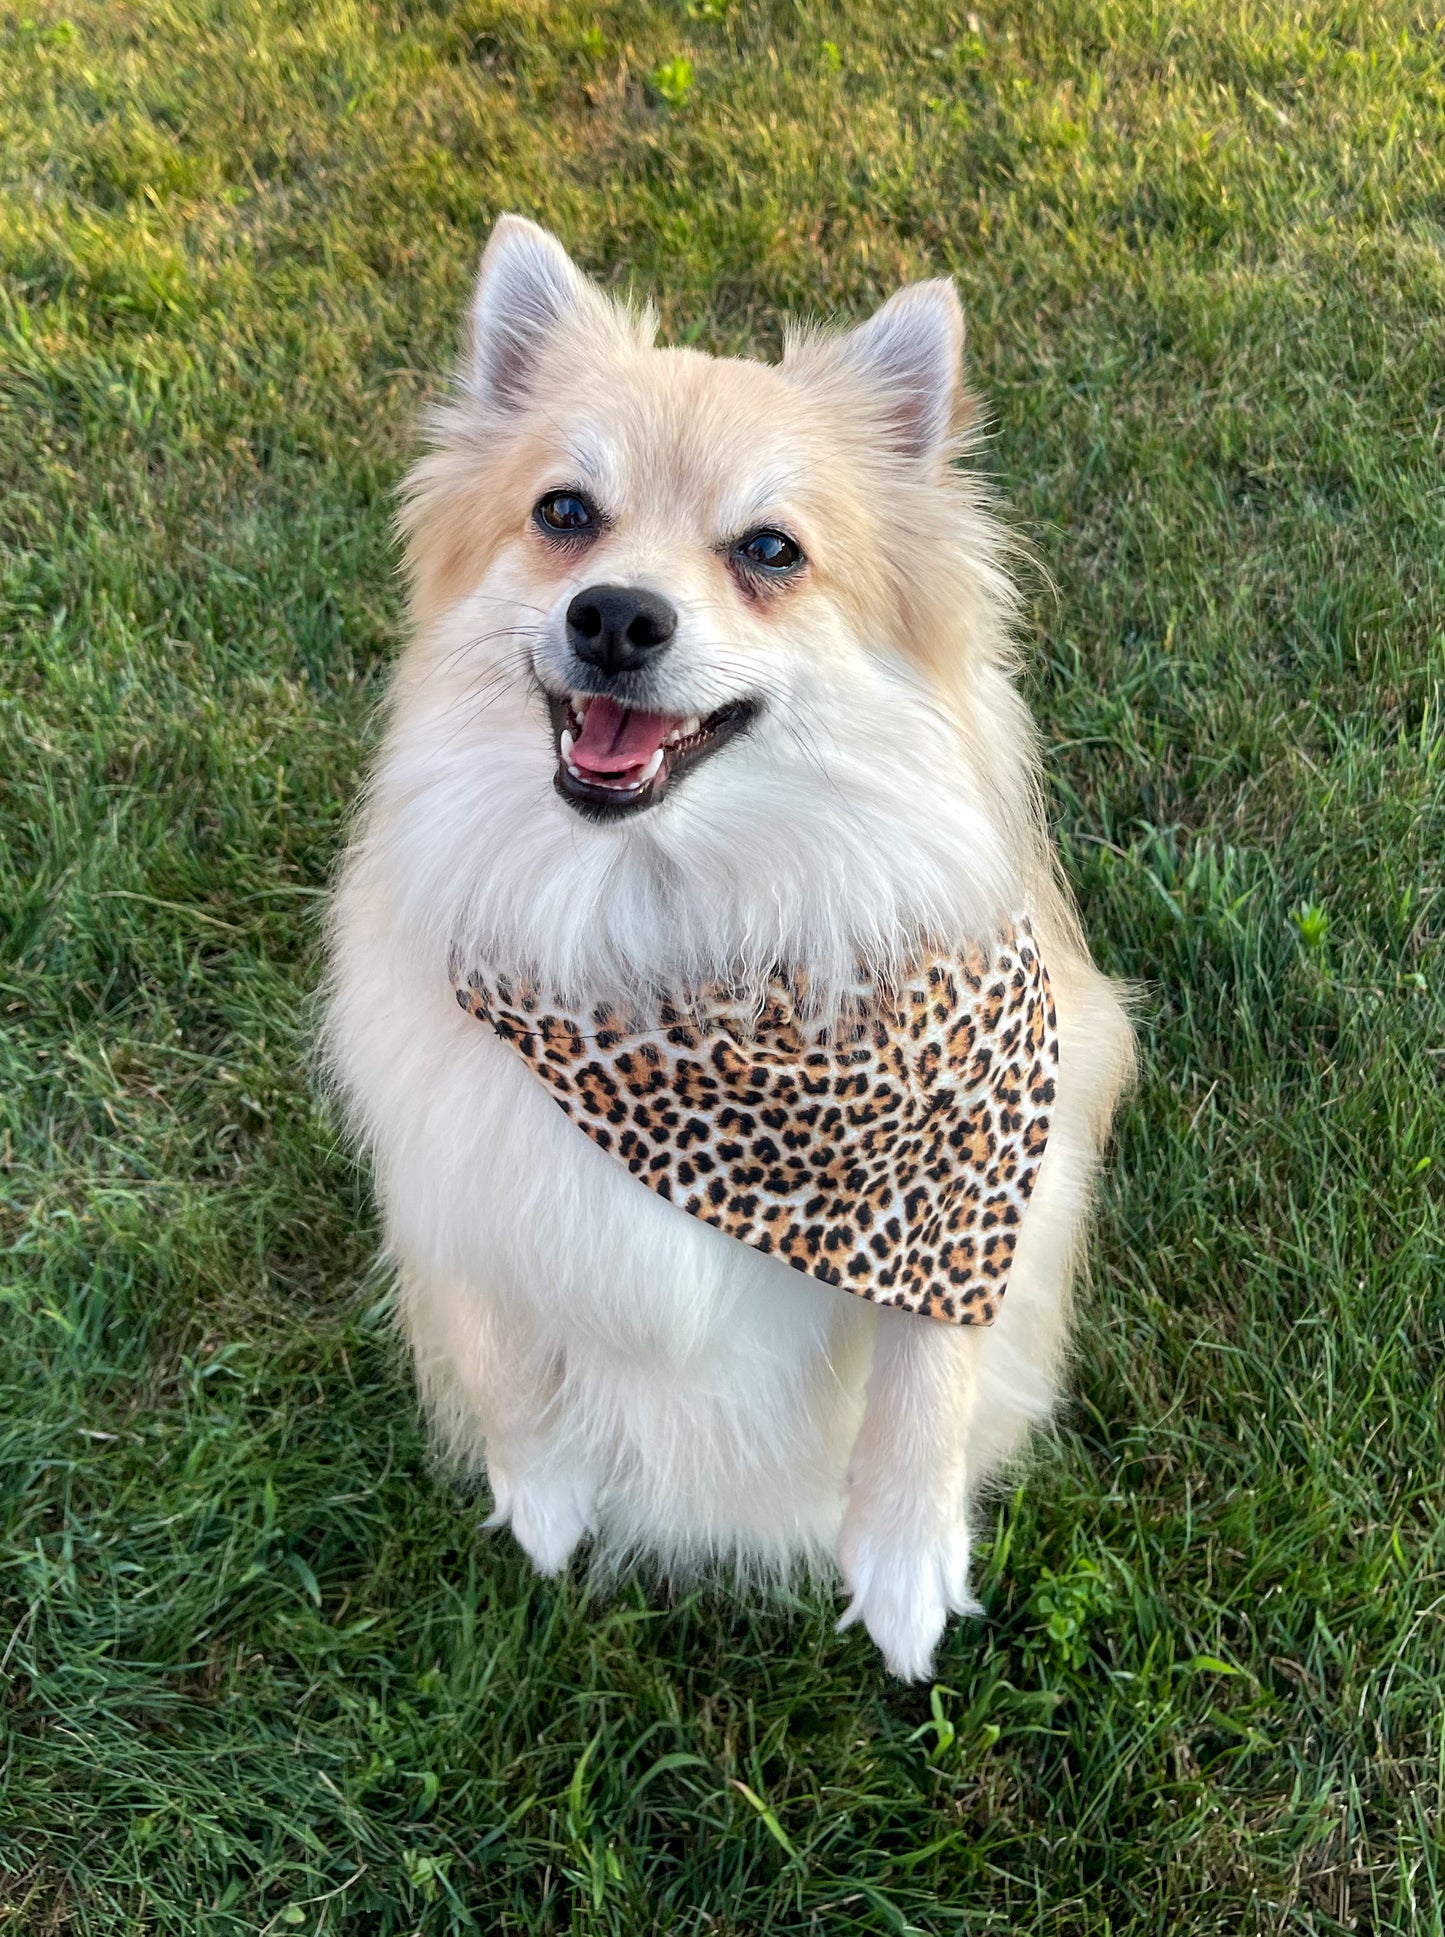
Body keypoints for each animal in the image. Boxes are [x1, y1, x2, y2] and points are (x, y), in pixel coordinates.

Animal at [321, 215, 1131, 1681]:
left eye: (769, 549)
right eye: (563, 514)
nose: (614, 615)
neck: (671, 930)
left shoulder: (984, 1154)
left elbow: (933, 1358)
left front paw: (903, 1559)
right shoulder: (450, 1160)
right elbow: (496, 1335)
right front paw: (542, 1494)